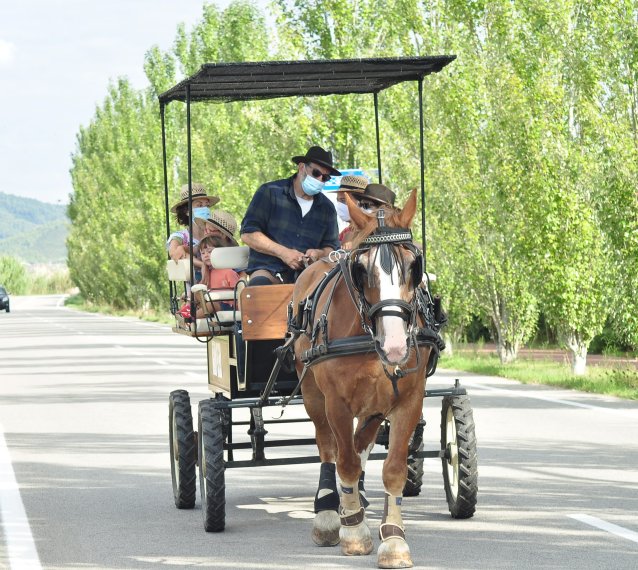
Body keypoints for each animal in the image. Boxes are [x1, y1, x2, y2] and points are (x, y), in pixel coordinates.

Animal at [292, 189, 438, 564]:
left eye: (414, 266)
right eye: (360, 269)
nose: (395, 345)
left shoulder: (408, 400)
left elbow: (392, 468)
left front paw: (394, 539)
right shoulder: (337, 403)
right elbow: (343, 462)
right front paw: (354, 531)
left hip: (374, 407)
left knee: (361, 447)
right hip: (314, 396)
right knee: (328, 447)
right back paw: (332, 514)